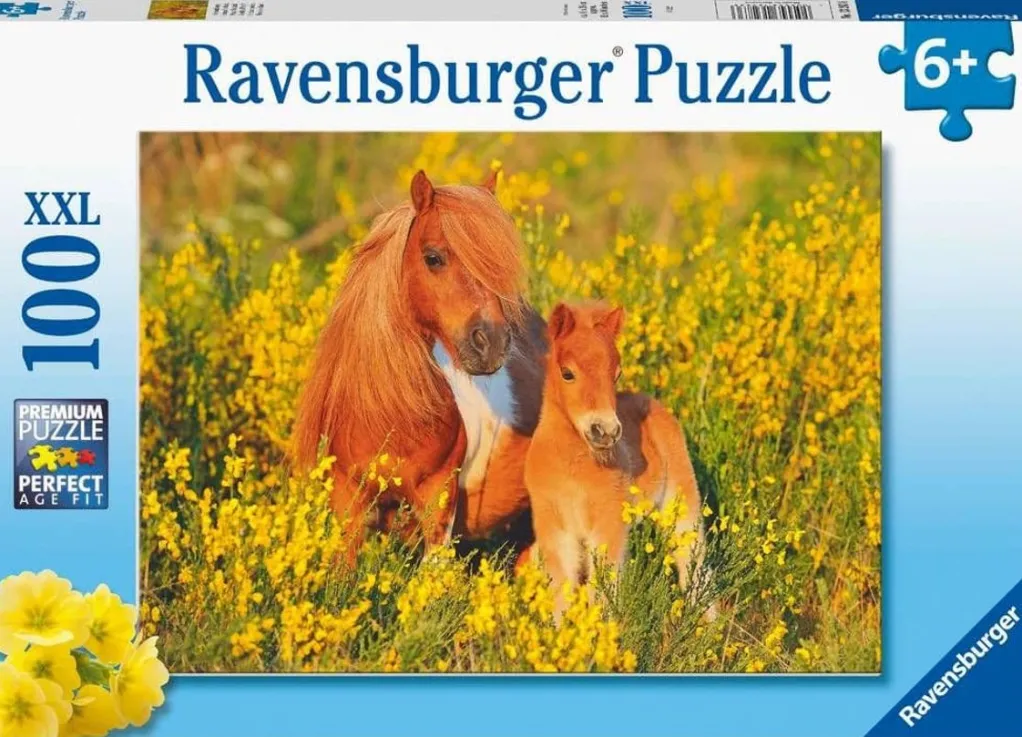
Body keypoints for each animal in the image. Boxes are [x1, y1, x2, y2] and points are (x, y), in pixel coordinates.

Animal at [522, 301, 708, 615]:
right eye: (567, 373)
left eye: (616, 374)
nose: (606, 431)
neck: (572, 469)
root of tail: (652, 401)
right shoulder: (555, 527)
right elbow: (561, 591)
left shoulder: (607, 523)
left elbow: (603, 590)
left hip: (680, 499)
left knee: (692, 559)